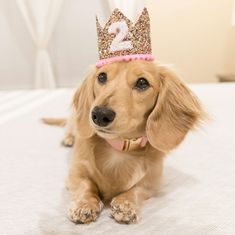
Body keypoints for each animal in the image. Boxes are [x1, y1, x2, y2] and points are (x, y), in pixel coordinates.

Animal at [44, 60, 204, 224]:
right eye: (101, 77)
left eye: (142, 82)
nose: (99, 114)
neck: (119, 147)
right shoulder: (76, 173)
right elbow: (86, 185)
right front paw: (85, 205)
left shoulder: (153, 182)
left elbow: (137, 189)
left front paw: (125, 204)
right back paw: (69, 138)